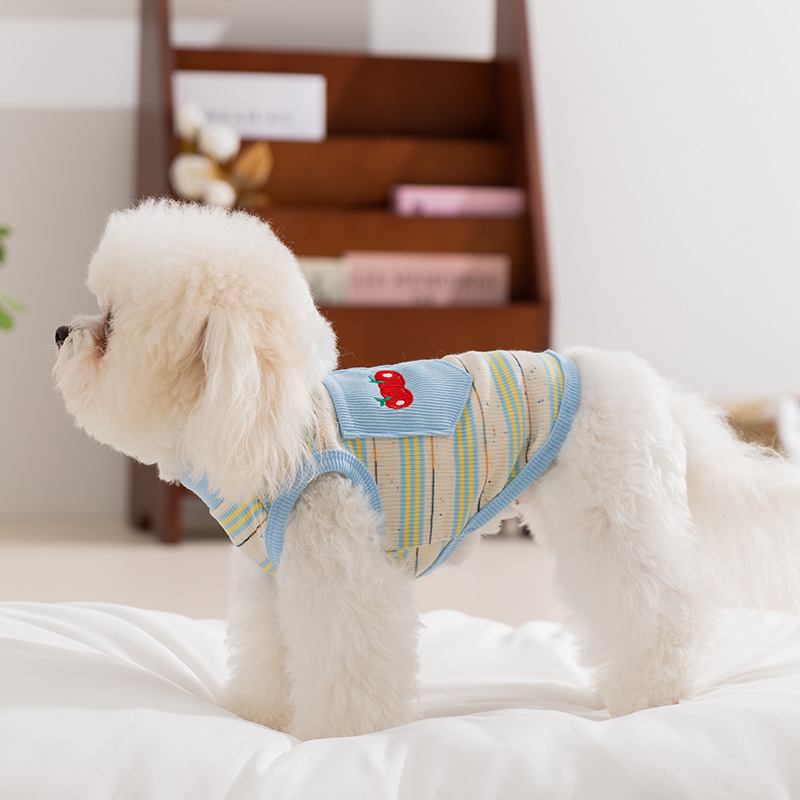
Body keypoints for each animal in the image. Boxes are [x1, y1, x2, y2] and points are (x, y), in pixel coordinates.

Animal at [54, 198, 800, 740]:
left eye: (111, 326)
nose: (59, 331)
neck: (271, 425)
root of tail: (657, 388)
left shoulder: (343, 575)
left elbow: (348, 662)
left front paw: (336, 737)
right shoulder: (273, 581)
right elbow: (270, 654)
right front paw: (259, 717)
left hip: (618, 517)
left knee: (665, 608)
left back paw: (657, 695)